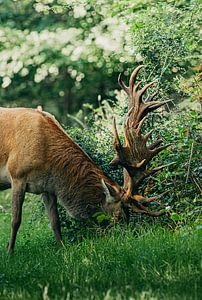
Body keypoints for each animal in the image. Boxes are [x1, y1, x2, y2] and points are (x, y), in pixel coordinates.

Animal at [0, 65, 174, 253]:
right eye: (119, 216)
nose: (124, 237)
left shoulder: (47, 187)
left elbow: (55, 222)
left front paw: (63, 249)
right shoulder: (17, 175)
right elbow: (15, 221)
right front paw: (10, 253)